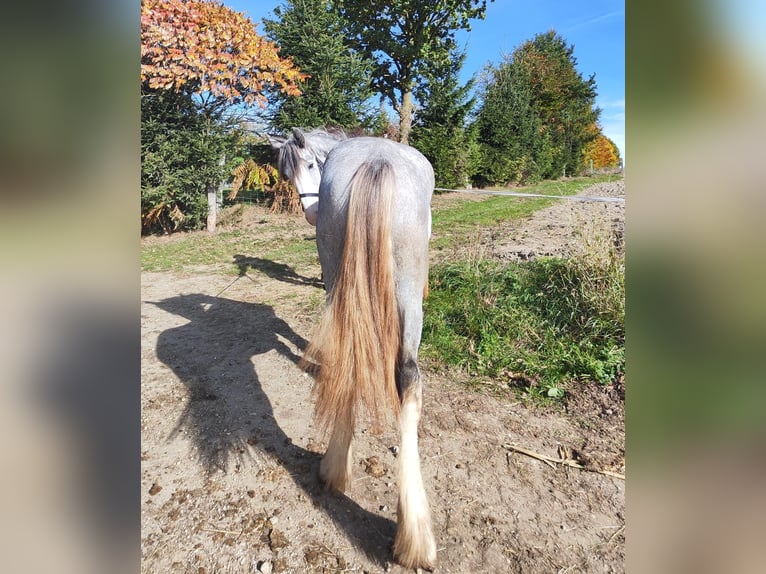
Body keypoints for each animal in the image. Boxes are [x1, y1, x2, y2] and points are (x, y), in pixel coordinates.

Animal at [271, 128, 436, 570]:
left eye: (310, 164)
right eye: (287, 172)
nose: (310, 214)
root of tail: (377, 160)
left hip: (336, 278)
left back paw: (333, 468)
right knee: (409, 379)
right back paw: (415, 536)